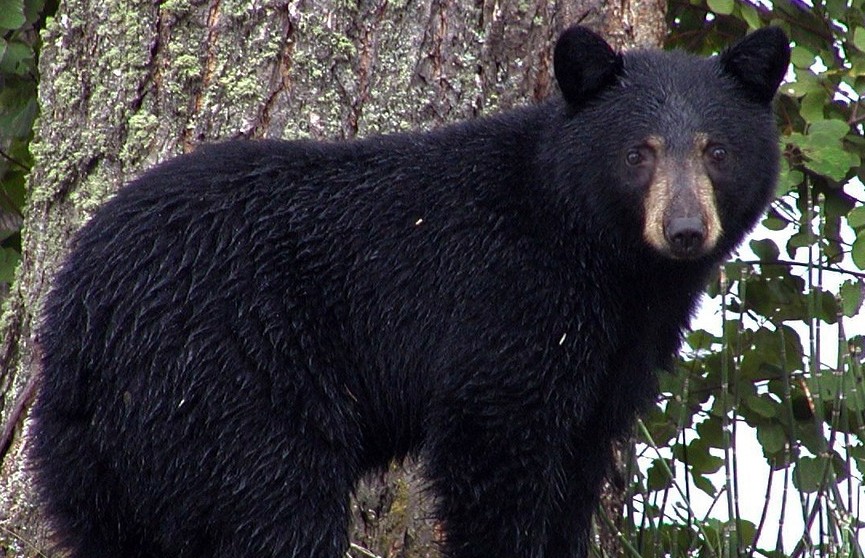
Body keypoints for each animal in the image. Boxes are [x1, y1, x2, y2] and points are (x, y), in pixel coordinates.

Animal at [30, 24, 788, 558]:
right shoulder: (510, 298)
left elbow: (580, 459)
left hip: (99, 450)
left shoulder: (617, 353)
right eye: (639, 153)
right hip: (228, 376)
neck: (605, 260)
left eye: (717, 150)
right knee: (274, 502)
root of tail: (79, 314)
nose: (684, 230)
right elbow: (494, 442)